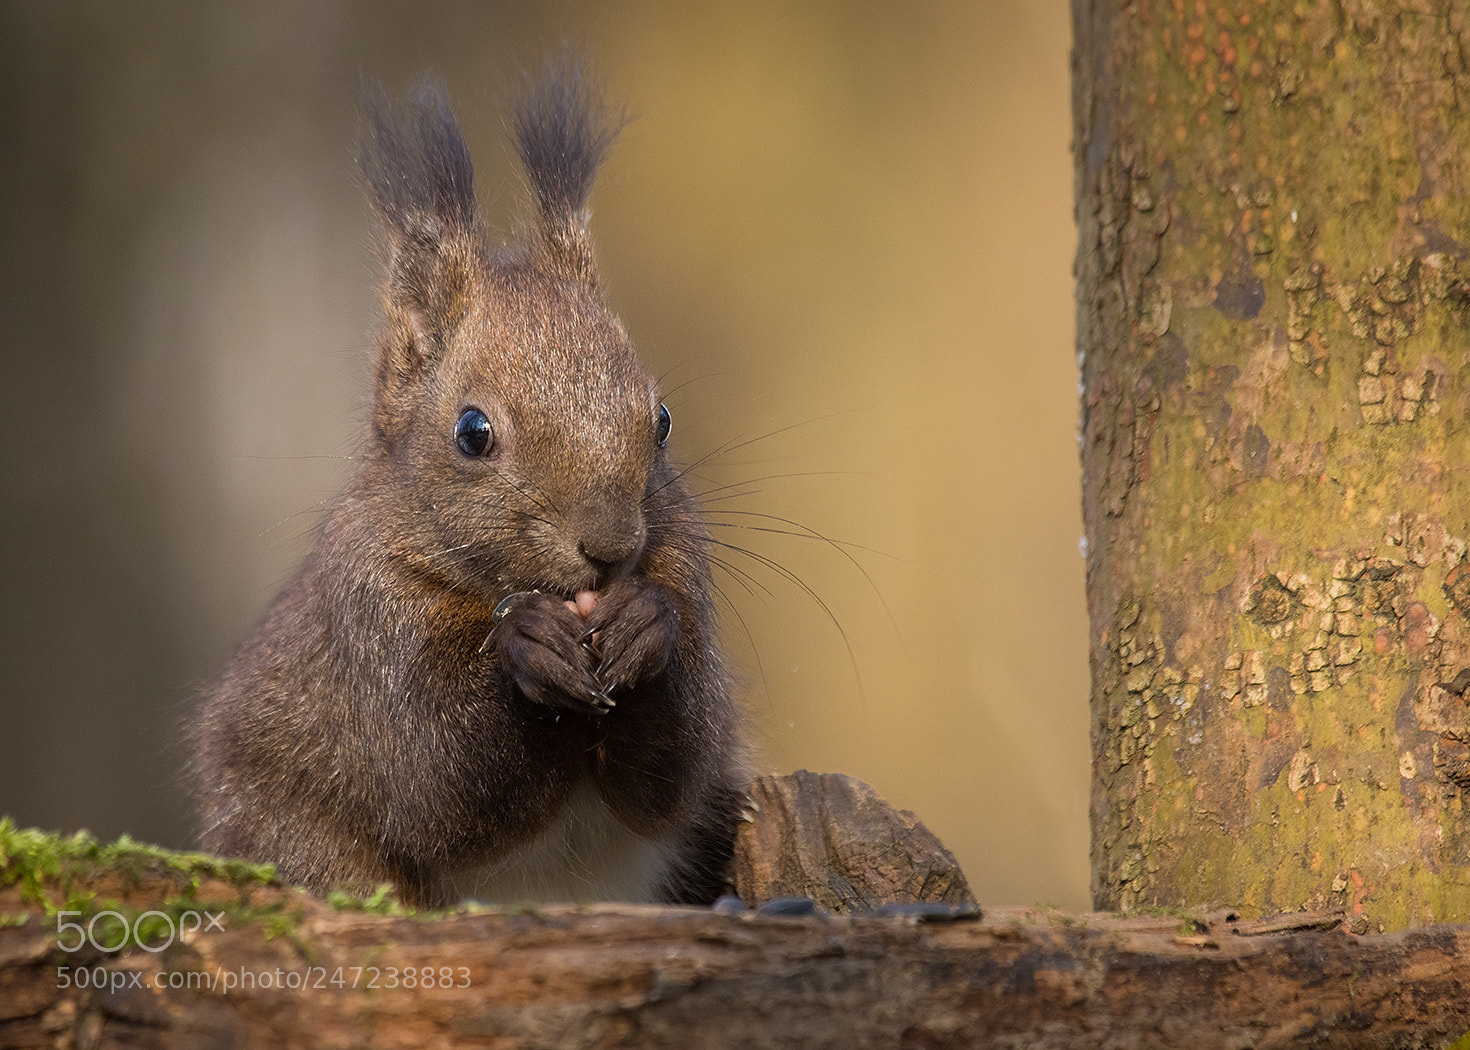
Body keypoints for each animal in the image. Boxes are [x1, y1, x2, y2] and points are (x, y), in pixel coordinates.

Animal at [192, 60, 748, 909]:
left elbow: (672, 774)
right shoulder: (375, 625)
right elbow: (441, 788)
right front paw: (529, 646)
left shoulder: (687, 569)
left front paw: (643, 624)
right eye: (472, 433)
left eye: (661, 420)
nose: (611, 547)